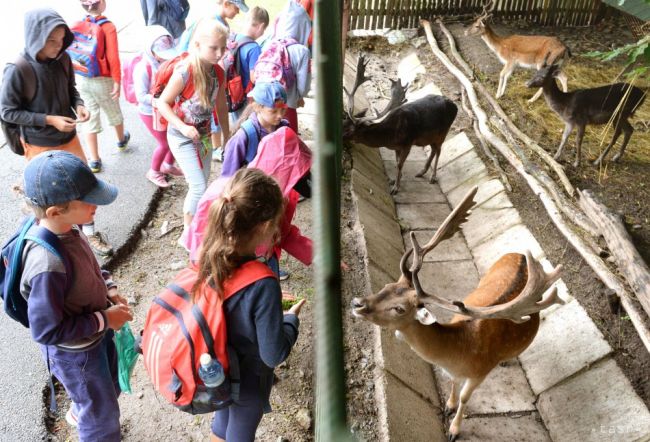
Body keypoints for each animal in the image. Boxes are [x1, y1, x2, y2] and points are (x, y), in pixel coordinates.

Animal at [340, 54, 456, 193]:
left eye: (349, 130)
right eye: (343, 122)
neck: (390, 137)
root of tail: (455, 106)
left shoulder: (408, 143)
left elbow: (400, 164)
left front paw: (396, 188)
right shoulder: (397, 147)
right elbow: (396, 163)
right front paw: (396, 180)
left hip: (443, 132)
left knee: (438, 150)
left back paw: (432, 177)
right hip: (431, 137)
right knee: (433, 149)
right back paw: (421, 172)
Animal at [350, 185, 560, 440]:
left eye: (399, 308)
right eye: (386, 286)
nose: (357, 303)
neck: (460, 353)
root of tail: (521, 254)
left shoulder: (480, 372)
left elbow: (465, 397)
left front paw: (454, 430)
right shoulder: (456, 371)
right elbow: (452, 383)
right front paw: (448, 405)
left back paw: (507, 360)